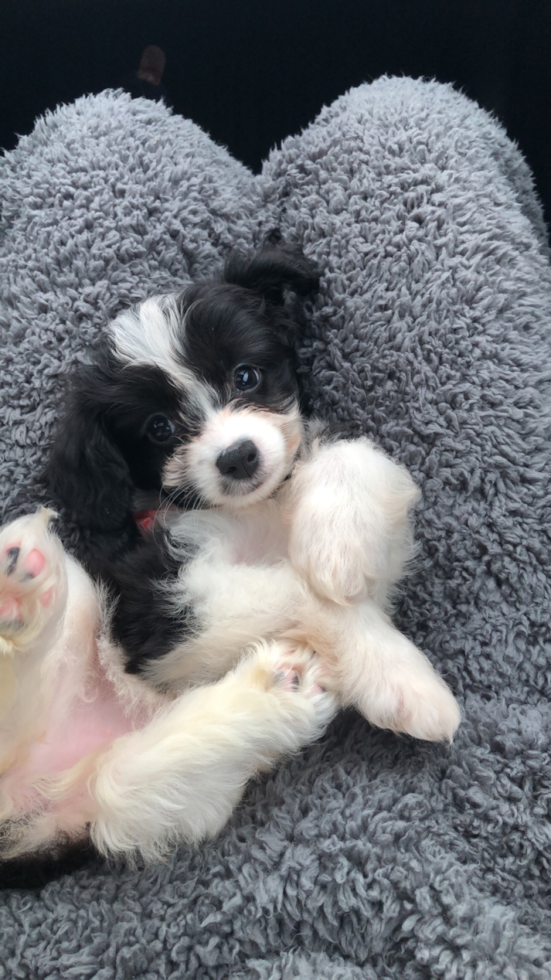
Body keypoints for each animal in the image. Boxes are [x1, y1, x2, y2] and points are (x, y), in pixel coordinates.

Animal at [0, 243, 462, 880]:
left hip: (149, 791)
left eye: (246, 375)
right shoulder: (156, 610)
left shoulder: (380, 542)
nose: (238, 456)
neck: (254, 512)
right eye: (159, 427)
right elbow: (299, 593)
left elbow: (350, 456)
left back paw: (275, 695)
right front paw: (402, 677)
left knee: (118, 779)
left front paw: (336, 550)